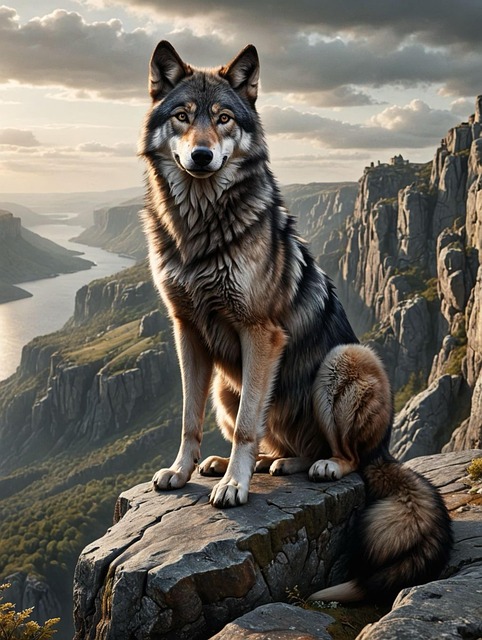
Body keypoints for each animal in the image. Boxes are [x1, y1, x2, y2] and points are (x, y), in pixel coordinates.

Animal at [139, 40, 453, 602]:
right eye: (182, 117)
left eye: (223, 119)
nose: (202, 156)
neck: (200, 224)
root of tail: (387, 453)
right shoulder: (187, 332)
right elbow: (188, 418)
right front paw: (184, 470)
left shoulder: (259, 331)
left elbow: (246, 428)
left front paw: (234, 486)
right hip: (226, 385)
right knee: (271, 439)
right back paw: (256, 462)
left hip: (345, 361)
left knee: (345, 457)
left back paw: (315, 464)